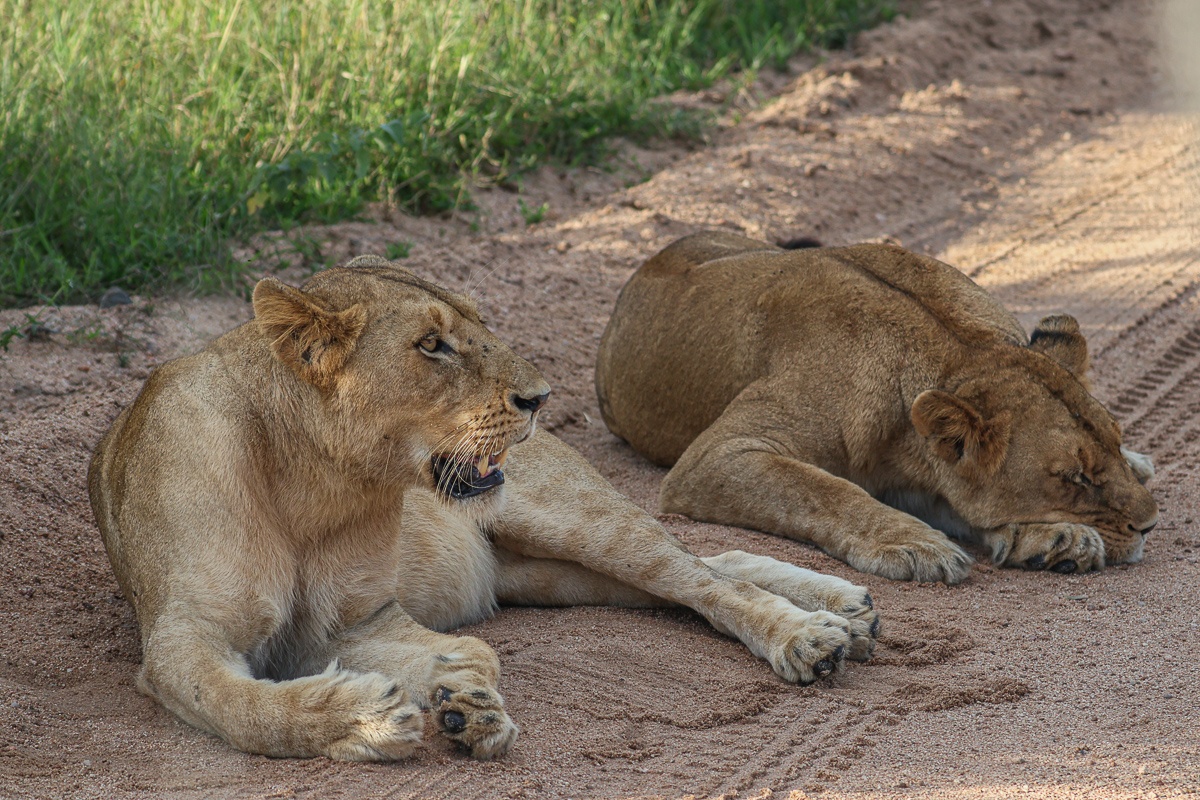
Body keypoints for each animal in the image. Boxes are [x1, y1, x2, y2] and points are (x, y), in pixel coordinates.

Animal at [88, 255, 880, 762]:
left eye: (478, 328)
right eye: (432, 345)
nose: (540, 398)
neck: (318, 490)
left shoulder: (358, 619)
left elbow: (472, 654)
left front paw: (459, 707)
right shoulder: (185, 641)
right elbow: (244, 710)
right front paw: (385, 717)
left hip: (573, 522)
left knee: (705, 578)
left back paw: (814, 632)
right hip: (546, 573)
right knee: (707, 567)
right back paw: (845, 612)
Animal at [595, 231, 1159, 585]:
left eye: (1114, 440)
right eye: (1073, 477)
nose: (1150, 526)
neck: (959, 348)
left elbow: (960, 499)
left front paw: (1053, 535)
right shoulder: (716, 455)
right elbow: (821, 489)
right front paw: (914, 544)